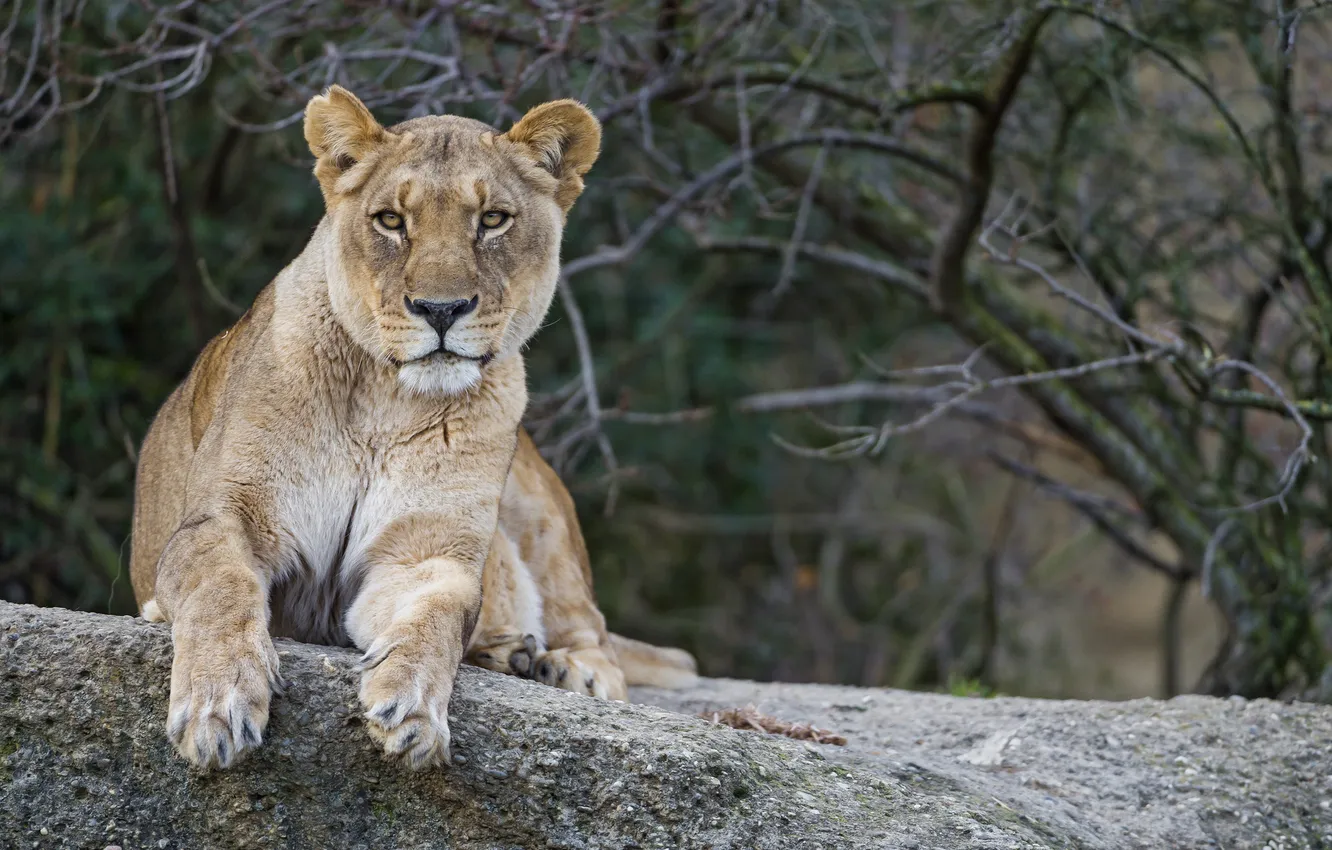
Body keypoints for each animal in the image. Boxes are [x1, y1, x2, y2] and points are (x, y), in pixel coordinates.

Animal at [129, 86, 694, 771]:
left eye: (493, 220)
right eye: (391, 221)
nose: (441, 310)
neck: (385, 403)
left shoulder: (426, 552)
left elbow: (439, 616)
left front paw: (413, 710)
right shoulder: (223, 520)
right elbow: (219, 588)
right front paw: (218, 704)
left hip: (542, 517)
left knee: (598, 637)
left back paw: (558, 667)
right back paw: (512, 654)